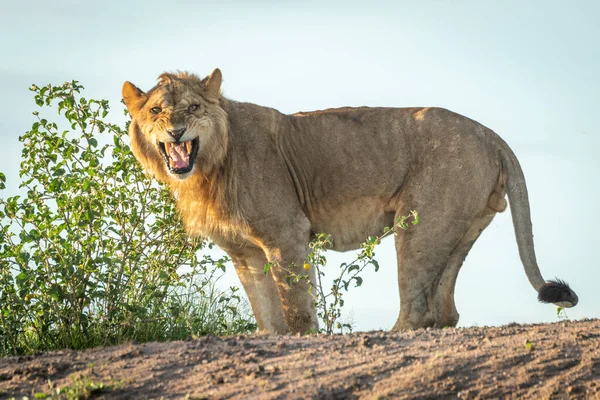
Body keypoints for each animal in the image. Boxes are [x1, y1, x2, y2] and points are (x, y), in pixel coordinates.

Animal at [120, 69, 576, 334]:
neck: (209, 166)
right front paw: (269, 338)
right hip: (460, 227)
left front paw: (302, 338)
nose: (177, 131)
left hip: (420, 225)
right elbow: (265, 310)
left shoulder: (287, 232)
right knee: (445, 308)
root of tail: (491, 134)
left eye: (194, 107)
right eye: (157, 111)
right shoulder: (244, 251)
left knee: (418, 306)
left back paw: (392, 335)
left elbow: (296, 305)